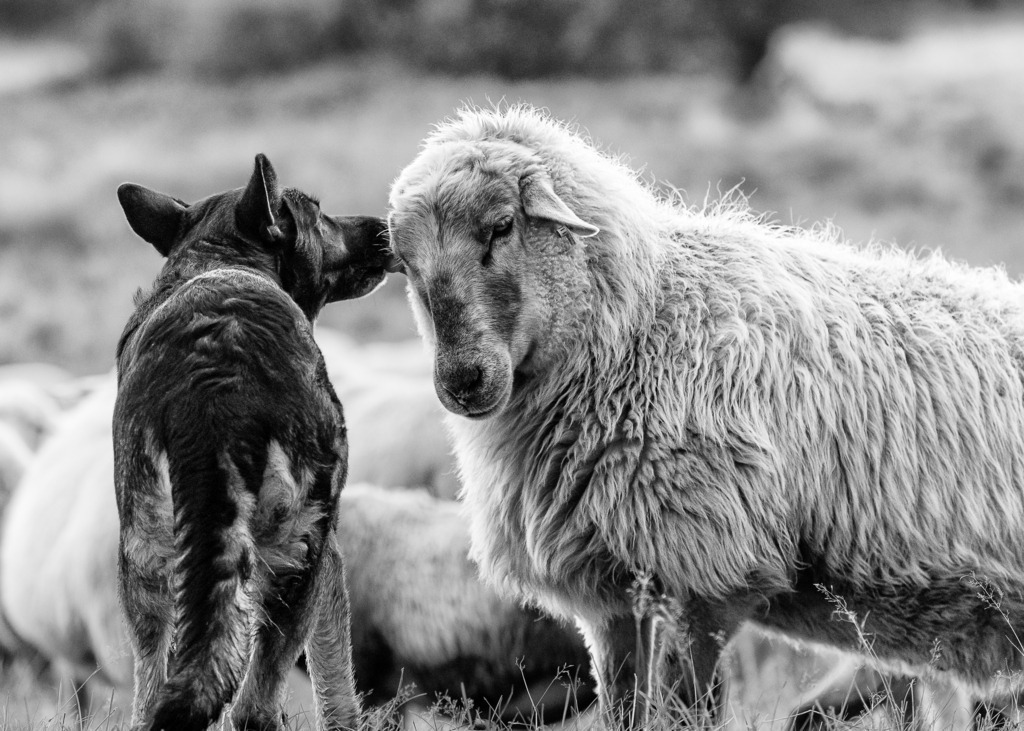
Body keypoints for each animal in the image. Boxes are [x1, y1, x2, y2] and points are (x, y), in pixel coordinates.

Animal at [113, 153, 390, 730]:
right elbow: (335, 674)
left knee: (151, 698)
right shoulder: (327, 554)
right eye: (319, 213)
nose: (385, 228)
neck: (217, 255)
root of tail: (211, 386)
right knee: (254, 706)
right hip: (296, 558)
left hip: (146, 566)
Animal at [386, 104, 1024, 729]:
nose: (462, 381)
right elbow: (624, 708)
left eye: (500, 226)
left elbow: (682, 709)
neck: (641, 321)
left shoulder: (699, 577)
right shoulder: (613, 595)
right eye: (405, 262)